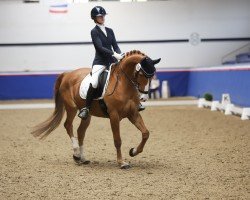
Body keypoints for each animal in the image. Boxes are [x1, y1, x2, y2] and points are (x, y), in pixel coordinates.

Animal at [31, 50, 160, 169]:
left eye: (152, 76)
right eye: (142, 74)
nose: (143, 98)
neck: (123, 84)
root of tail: (67, 74)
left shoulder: (133, 114)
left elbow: (145, 133)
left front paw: (133, 151)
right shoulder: (114, 116)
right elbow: (117, 140)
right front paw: (121, 162)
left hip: (87, 114)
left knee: (80, 131)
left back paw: (82, 158)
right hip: (71, 108)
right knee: (68, 125)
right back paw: (76, 154)